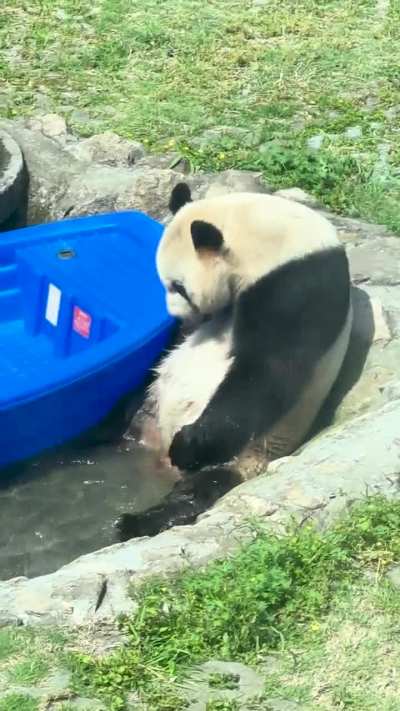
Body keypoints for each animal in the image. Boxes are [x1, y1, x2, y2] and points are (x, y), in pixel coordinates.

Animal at [117, 183, 352, 539]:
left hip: (248, 453)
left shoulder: (300, 284)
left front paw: (188, 443)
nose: (176, 318)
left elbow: (267, 371)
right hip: (150, 408)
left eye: (178, 287)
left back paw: (139, 520)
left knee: (200, 488)